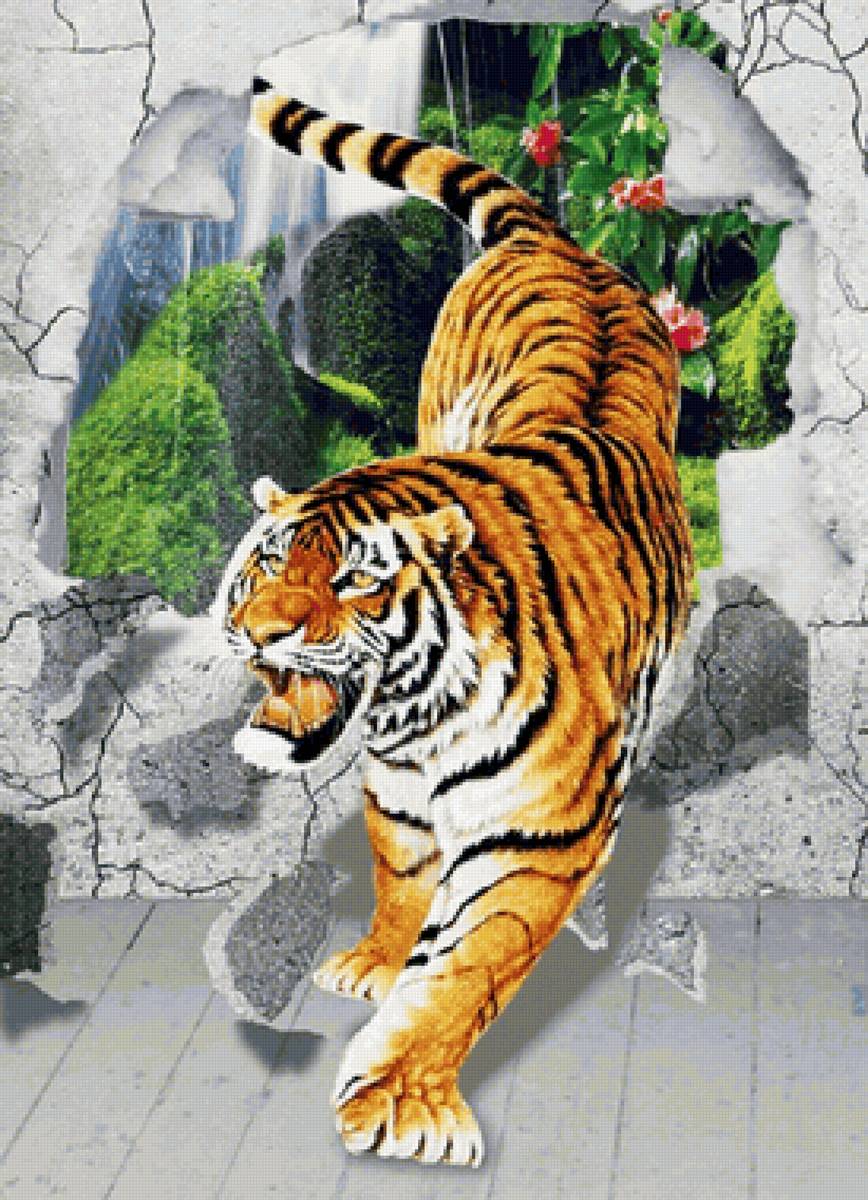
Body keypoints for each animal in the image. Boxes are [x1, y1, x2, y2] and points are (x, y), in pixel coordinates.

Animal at [213, 76, 693, 1167]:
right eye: (265, 566)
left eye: (354, 582)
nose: (264, 631)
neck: (415, 716)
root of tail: (559, 242)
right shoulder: (395, 792)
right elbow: (400, 882)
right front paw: (374, 965)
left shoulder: (540, 830)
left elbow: (471, 962)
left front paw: (401, 1099)